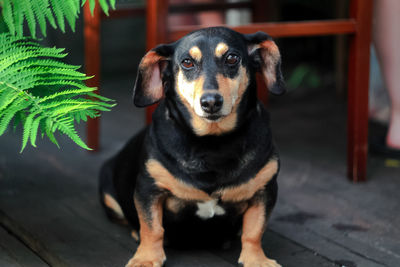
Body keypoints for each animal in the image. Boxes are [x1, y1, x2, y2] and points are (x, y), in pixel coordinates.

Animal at [101, 26, 286, 267]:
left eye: (232, 58)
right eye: (187, 62)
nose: (210, 102)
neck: (213, 143)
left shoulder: (264, 190)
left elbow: (254, 231)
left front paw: (257, 260)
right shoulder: (148, 189)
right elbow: (152, 228)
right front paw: (146, 258)